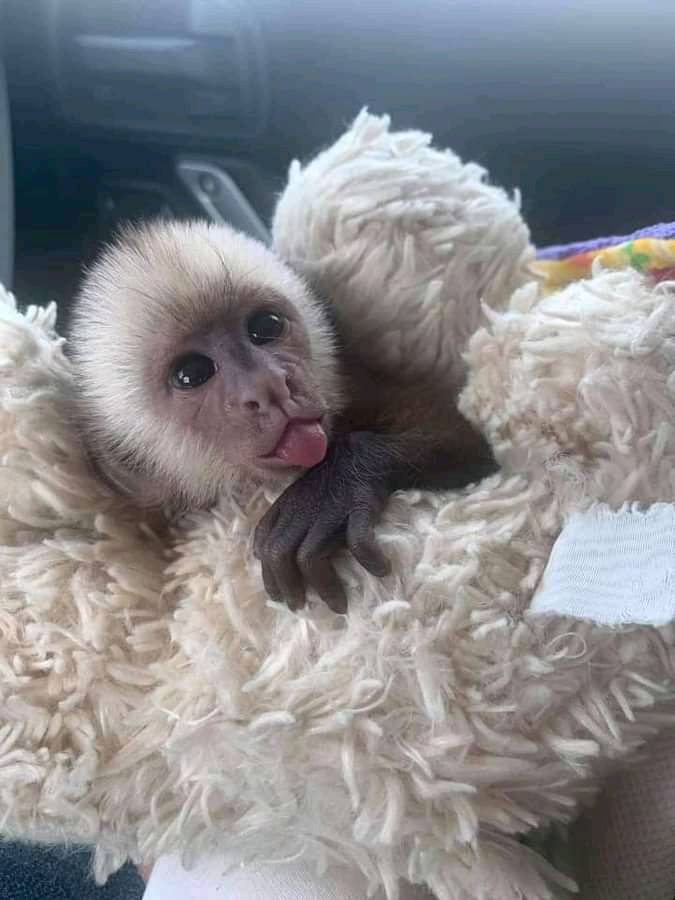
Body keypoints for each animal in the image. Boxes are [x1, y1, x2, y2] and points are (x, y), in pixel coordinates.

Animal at [69, 220, 495, 614]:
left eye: (266, 326)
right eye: (191, 373)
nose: (269, 386)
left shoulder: (353, 385)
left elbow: (465, 442)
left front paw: (328, 492)